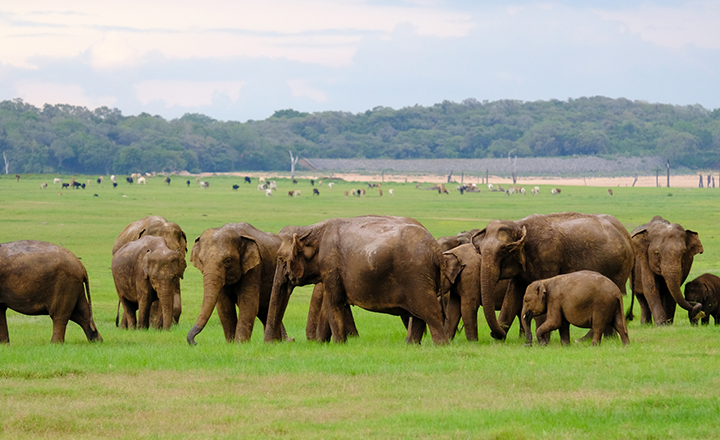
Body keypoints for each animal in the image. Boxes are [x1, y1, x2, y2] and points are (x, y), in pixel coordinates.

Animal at [264, 215, 450, 346]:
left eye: (281, 260)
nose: (272, 344)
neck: (312, 229)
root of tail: (437, 251)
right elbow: (329, 303)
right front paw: (325, 344)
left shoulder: (330, 261)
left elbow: (334, 302)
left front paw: (339, 344)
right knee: (419, 315)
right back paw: (412, 346)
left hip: (417, 276)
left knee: (430, 311)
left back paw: (441, 345)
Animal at [476, 212, 632, 340]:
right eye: (479, 250)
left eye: (503, 250)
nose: (494, 333)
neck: (518, 225)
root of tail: (625, 234)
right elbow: (512, 297)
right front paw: (500, 338)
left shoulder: (547, 257)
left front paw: (544, 341)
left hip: (620, 268)